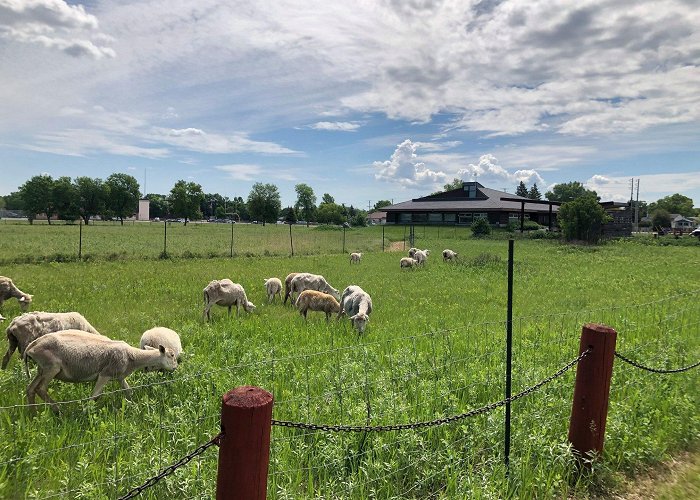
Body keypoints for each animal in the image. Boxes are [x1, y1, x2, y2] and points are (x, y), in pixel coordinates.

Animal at [24, 328, 178, 414]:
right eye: (171, 355)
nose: (175, 368)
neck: (133, 357)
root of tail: (31, 347)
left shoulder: (119, 376)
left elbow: (129, 391)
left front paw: (134, 406)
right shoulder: (105, 374)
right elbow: (95, 395)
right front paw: (85, 413)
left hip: (42, 368)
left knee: (31, 389)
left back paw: (33, 414)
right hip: (52, 367)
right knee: (41, 388)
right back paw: (58, 410)